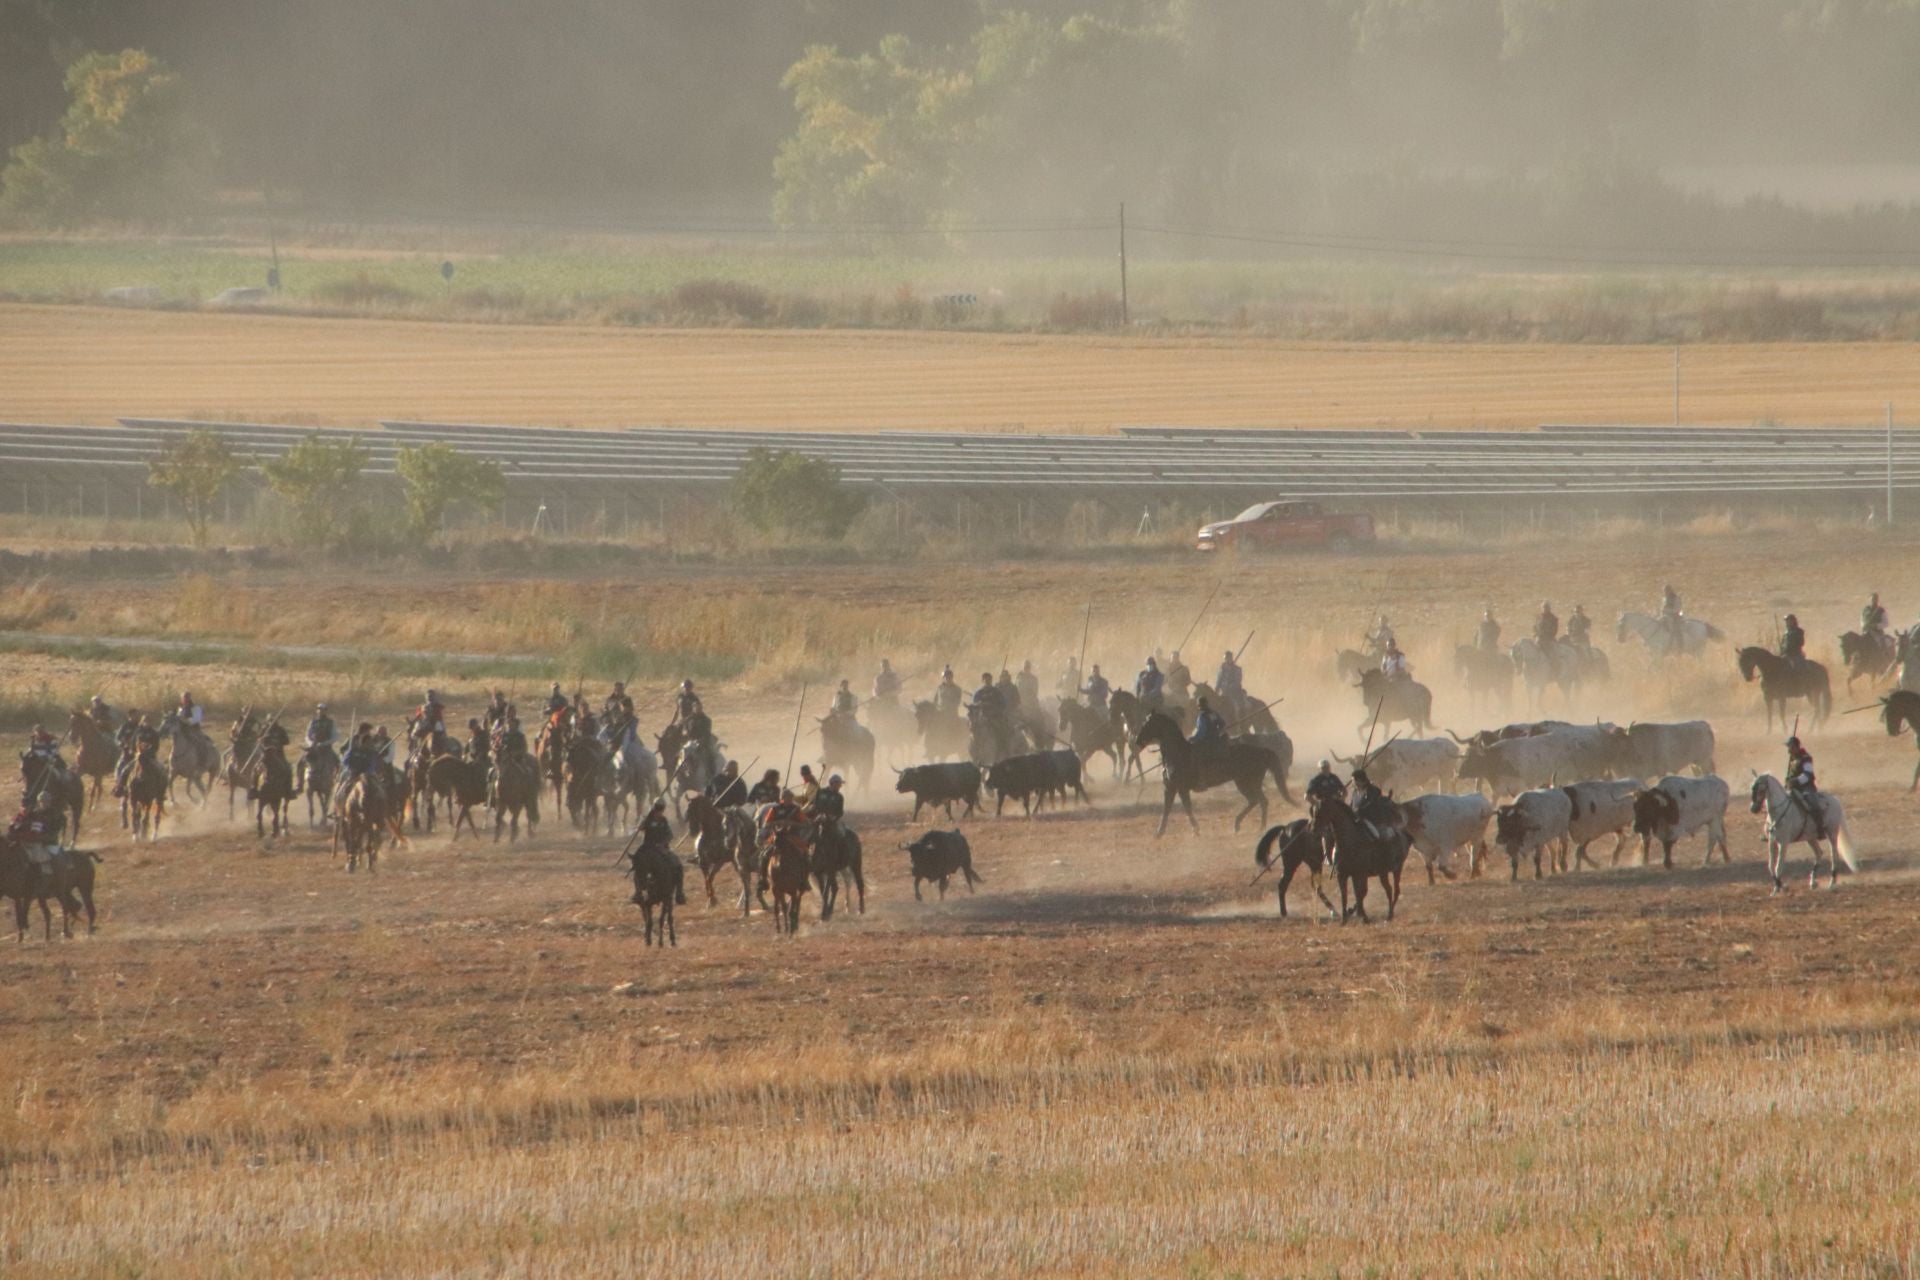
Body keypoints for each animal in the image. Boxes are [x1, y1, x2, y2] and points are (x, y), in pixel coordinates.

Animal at [1128, 706, 1282, 836]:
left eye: (1147, 724)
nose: (1137, 741)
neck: (1178, 753)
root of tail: (1262, 751)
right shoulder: (1170, 788)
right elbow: (1168, 809)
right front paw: (1160, 832)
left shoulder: (1180, 788)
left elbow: (1185, 808)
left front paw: (1195, 830)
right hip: (1248, 783)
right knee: (1259, 801)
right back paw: (1251, 826)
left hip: (1246, 783)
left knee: (1258, 800)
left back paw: (1250, 825)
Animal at [1305, 790, 1413, 921]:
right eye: (1314, 810)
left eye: (1323, 809)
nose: (1312, 829)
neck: (1349, 841)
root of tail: (1402, 834)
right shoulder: (1343, 875)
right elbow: (1345, 895)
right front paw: (1345, 918)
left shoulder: (1359, 874)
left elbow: (1359, 893)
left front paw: (1362, 916)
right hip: (1382, 873)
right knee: (1388, 889)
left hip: (1396, 870)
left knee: (1394, 890)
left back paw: (1389, 915)